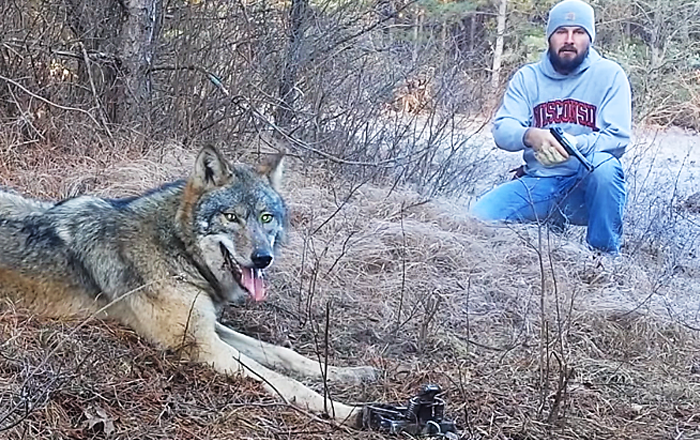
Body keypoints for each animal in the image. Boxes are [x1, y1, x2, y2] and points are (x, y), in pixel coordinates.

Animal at [0, 146, 378, 424]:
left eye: (266, 217)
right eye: (231, 217)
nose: (263, 258)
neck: (178, 248)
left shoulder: (209, 326)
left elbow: (284, 354)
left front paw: (354, 373)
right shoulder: (201, 345)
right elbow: (284, 380)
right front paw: (351, 412)